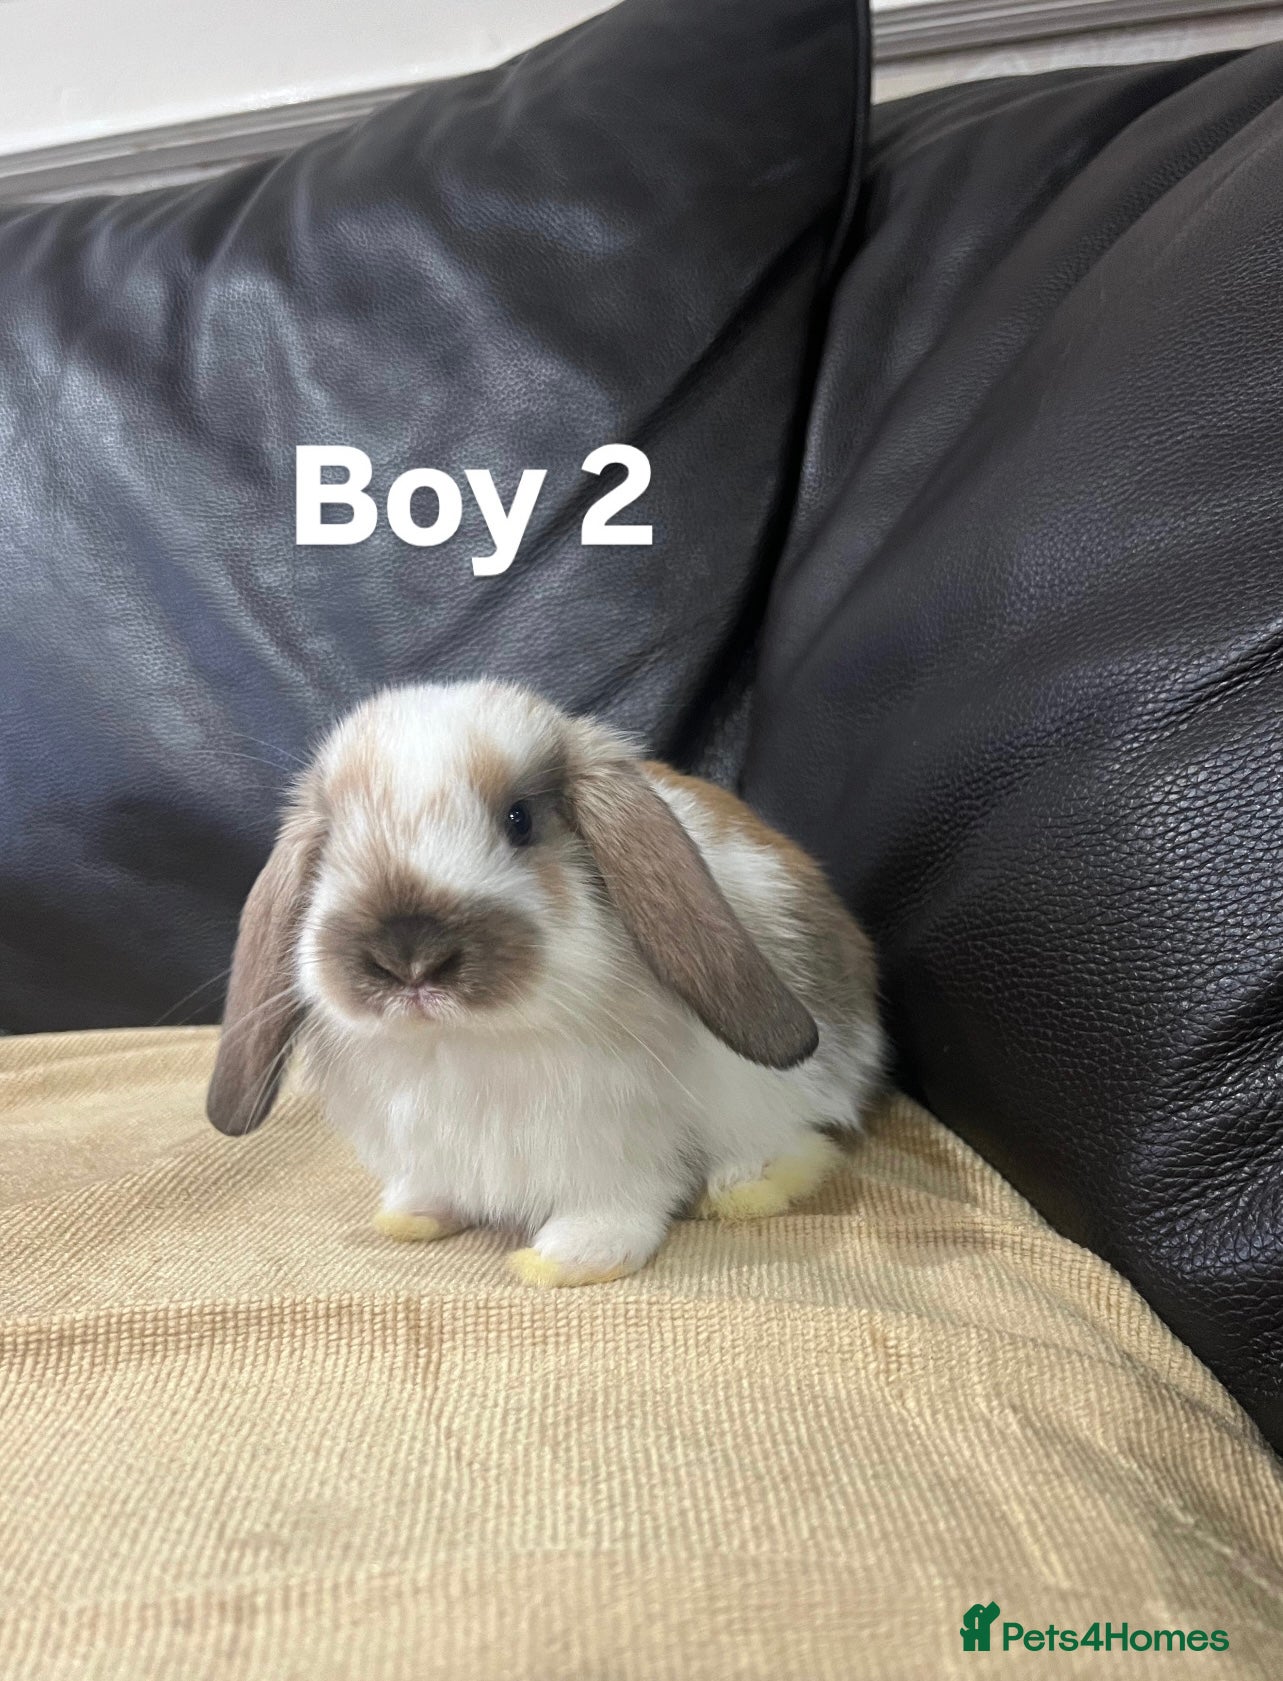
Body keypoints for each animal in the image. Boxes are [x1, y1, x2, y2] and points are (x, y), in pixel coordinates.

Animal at [206, 680, 884, 1286]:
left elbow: (618, 1202)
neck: (465, 1044)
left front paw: (569, 1260)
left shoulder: (618, 1146)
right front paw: (414, 1215)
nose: (409, 958)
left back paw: (745, 1188)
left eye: (520, 819)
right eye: (332, 842)